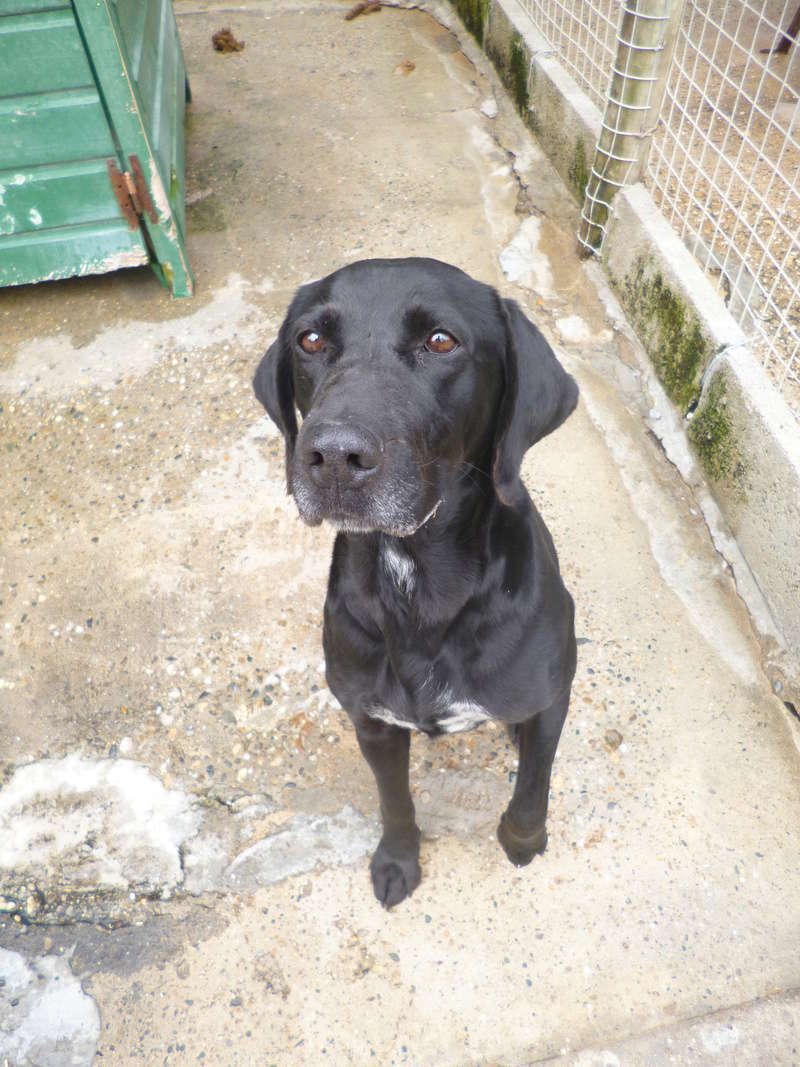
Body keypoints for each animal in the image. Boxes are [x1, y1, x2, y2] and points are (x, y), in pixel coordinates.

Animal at [253, 258, 580, 909]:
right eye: (311, 340)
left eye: (441, 341)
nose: (333, 456)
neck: (416, 583)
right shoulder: (372, 722)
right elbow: (394, 801)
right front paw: (398, 860)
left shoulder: (550, 697)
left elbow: (534, 784)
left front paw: (523, 842)